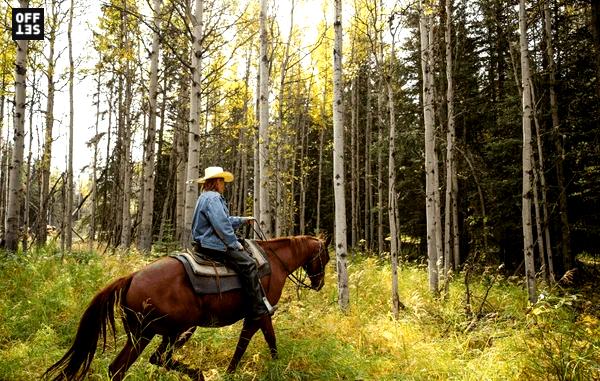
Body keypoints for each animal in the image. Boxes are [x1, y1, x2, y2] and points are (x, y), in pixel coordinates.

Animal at [42, 235, 330, 380]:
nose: (319, 284)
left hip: (142, 334)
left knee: (118, 368)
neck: (274, 260)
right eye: (325, 257)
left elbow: (248, 344)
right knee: (159, 359)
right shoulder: (259, 313)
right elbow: (264, 341)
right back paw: (199, 374)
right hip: (176, 330)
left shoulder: (254, 316)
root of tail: (132, 277)